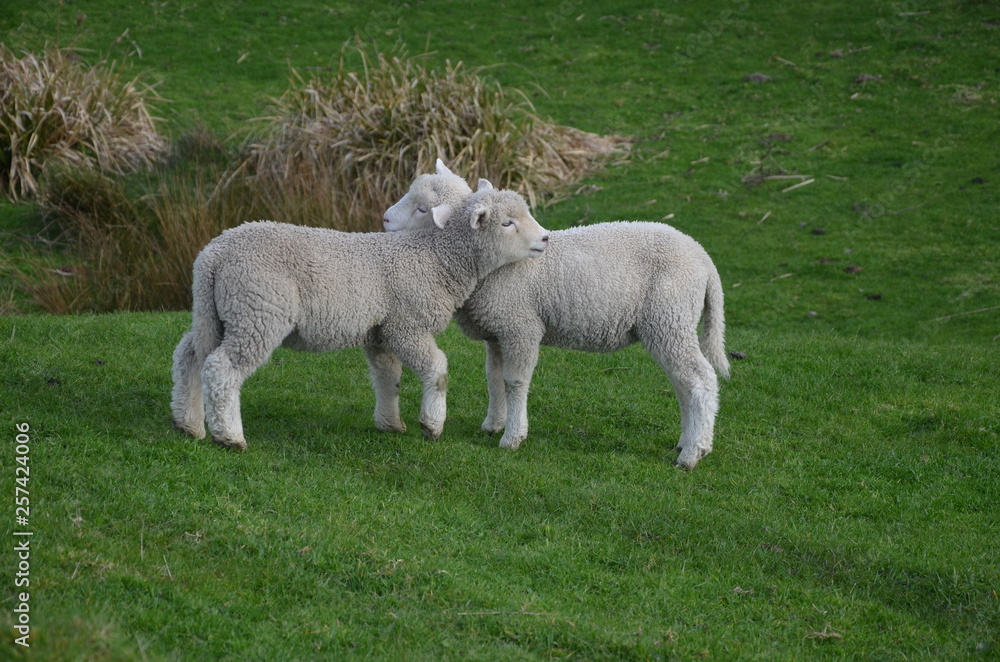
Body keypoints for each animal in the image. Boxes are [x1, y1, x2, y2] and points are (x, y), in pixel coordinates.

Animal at [170, 179, 550, 450]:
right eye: (507, 223)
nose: (545, 238)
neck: (433, 256)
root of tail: (213, 254)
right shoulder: (405, 325)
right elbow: (438, 370)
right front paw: (432, 424)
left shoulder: (379, 331)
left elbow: (387, 376)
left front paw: (390, 423)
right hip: (258, 310)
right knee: (222, 368)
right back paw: (229, 436)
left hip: (218, 312)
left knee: (189, 355)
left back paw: (189, 423)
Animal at [383, 170, 728, 469]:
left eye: (421, 209)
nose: (385, 218)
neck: (487, 271)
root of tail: (703, 258)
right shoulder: (497, 331)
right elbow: (494, 381)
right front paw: (493, 425)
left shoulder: (521, 327)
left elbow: (515, 382)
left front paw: (512, 437)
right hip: (669, 324)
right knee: (683, 383)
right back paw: (688, 442)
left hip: (670, 317)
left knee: (701, 380)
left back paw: (693, 453)